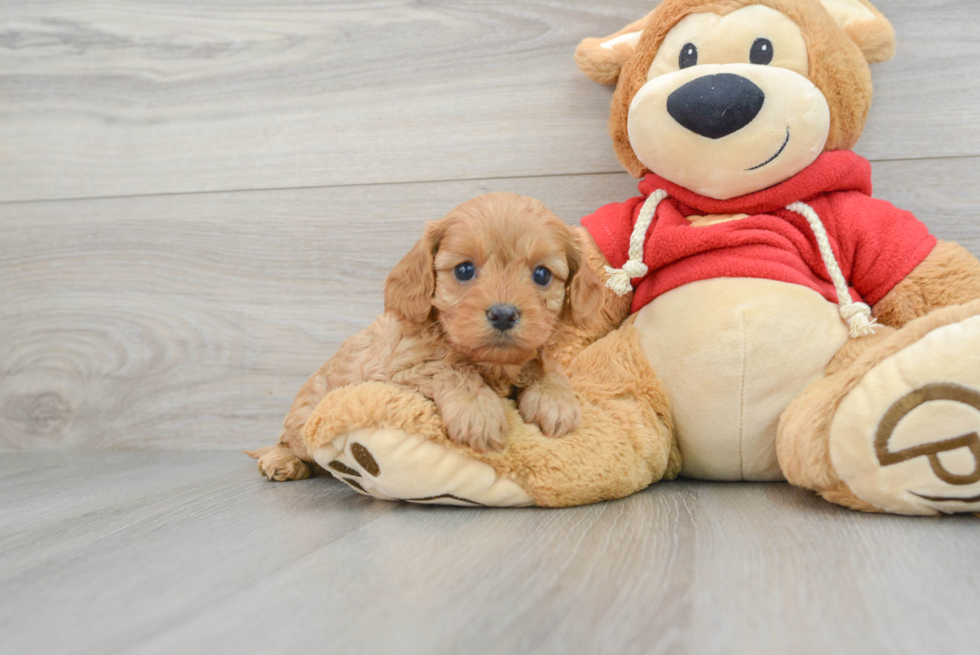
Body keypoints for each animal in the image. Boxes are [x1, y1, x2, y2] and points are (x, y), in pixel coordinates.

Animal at [247, 191, 604, 482]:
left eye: (542, 274)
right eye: (464, 270)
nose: (503, 314)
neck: (491, 364)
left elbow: (547, 364)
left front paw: (556, 401)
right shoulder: (396, 371)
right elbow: (449, 368)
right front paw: (479, 413)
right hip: (305, 418)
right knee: (291, 444)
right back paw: (281, 462)